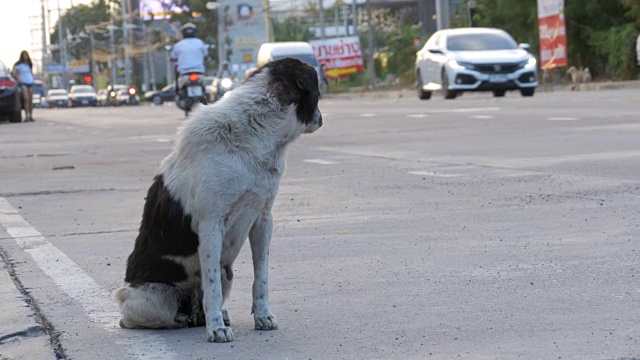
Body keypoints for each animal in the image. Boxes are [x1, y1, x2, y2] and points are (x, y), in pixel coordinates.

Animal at [113, 57, 322, 342]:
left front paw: (262, 316)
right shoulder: (211, 225)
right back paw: (186, 319)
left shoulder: (263, 220)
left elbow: (261, 277)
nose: (321, 119)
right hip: (152, 298)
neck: (255, 134)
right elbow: (211, 286)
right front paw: (216, 329)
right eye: (317, 94)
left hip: (227, 272)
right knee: (139, 318)